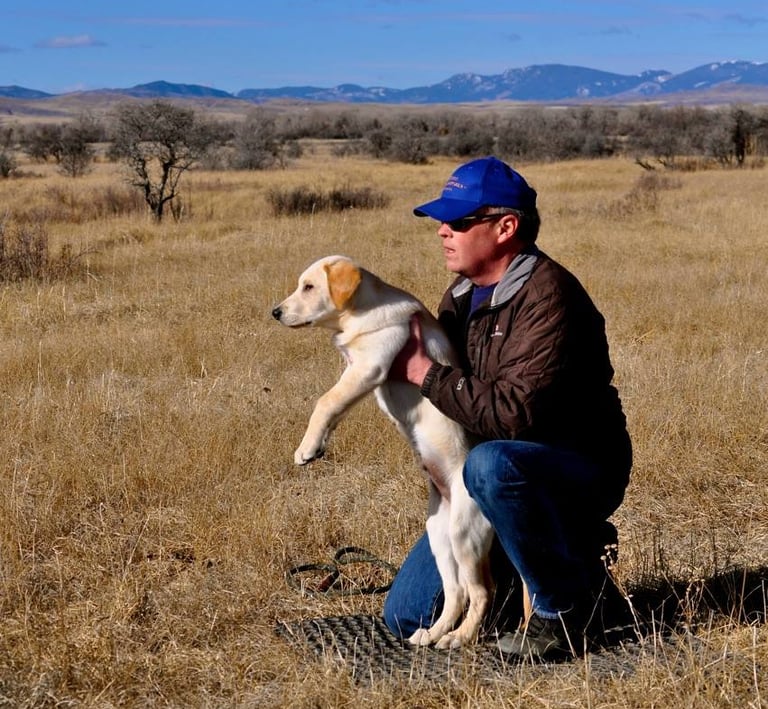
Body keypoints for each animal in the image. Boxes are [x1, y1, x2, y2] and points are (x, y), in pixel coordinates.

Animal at [272, 255, 499, 649]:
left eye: (309, 287)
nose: (276, 312)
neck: (360, 313)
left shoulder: (370, 366)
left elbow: (325, 402)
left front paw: (306, 449)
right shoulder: (354, 371)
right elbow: (334, 407)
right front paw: (319, 444)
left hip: (464, 534)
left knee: (482, 591)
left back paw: (458, 637)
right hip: (440, 537)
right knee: (456, 592)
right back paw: (431, 633)